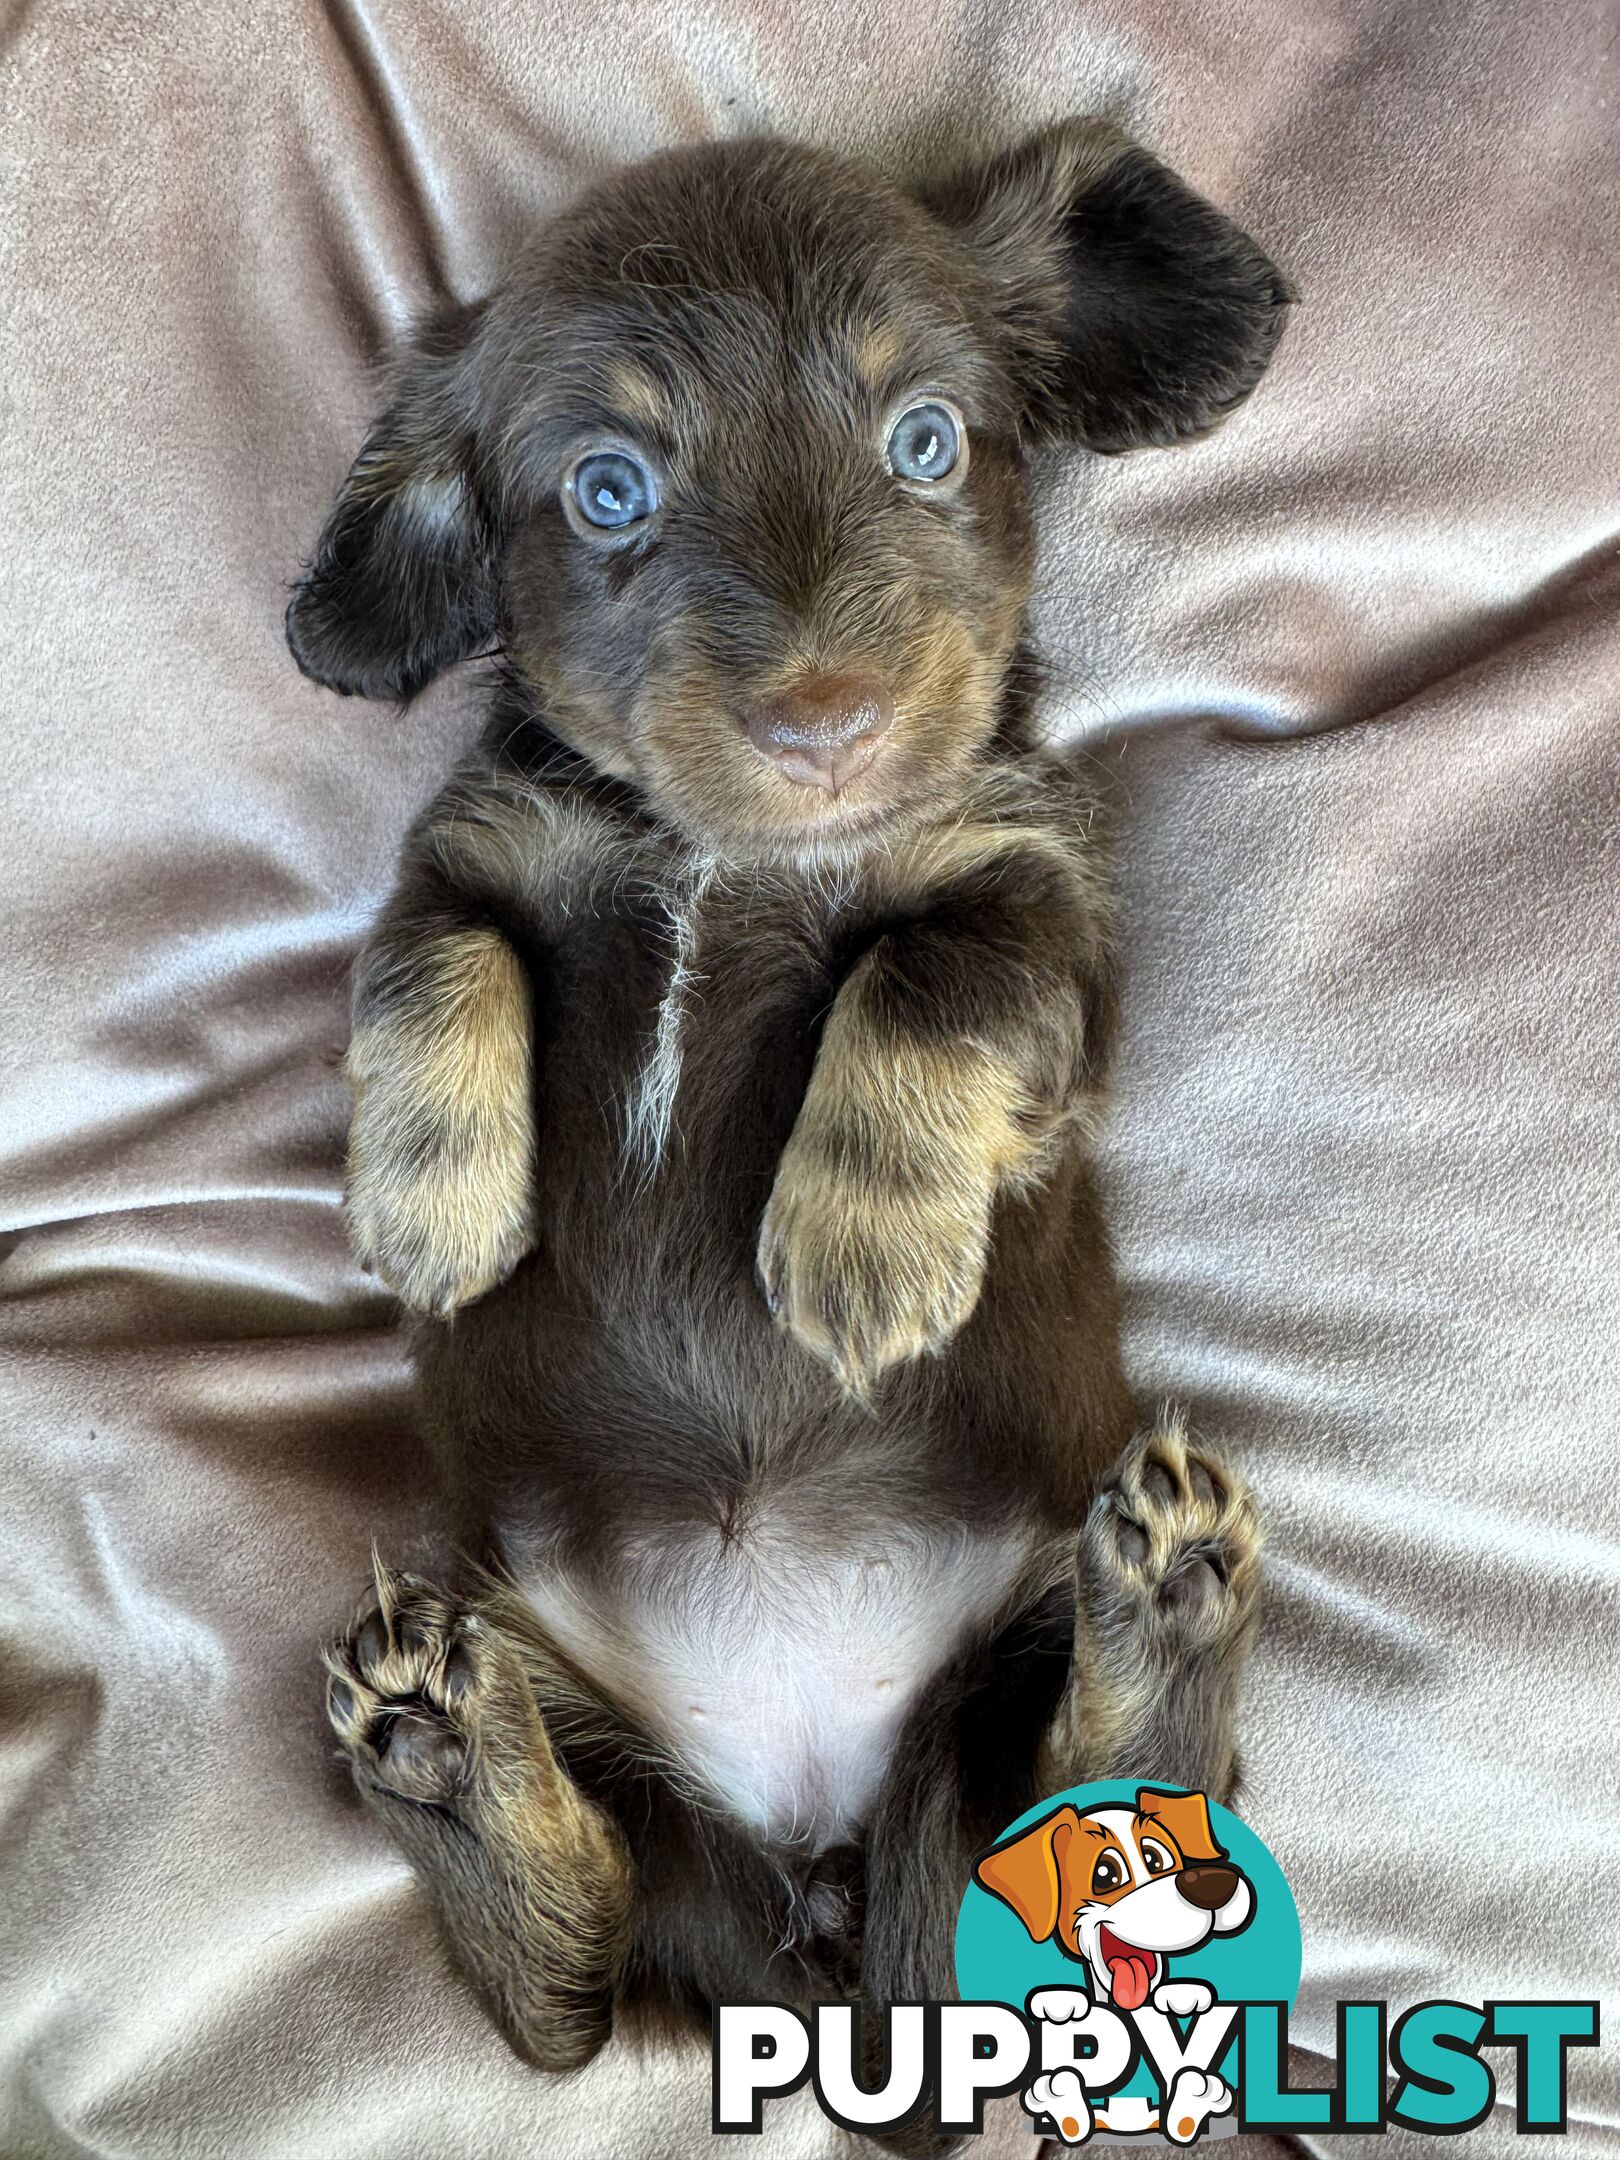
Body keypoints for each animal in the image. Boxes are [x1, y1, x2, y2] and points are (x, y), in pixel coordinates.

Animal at [289, 113, 1278, 2142]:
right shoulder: (477, 851)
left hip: (1004, 1677)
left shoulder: (1041, 908)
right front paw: (431, 1201)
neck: (718, 845)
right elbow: (427, 959)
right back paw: (442, 1757)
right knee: (565, 1990)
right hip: (588, 1732)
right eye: (608, 489)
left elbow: (920, 978)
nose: (826, 720)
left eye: (928, 441)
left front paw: (859, 1249)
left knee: (1114, 1792)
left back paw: (1170, 1613)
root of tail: (818, 1873)